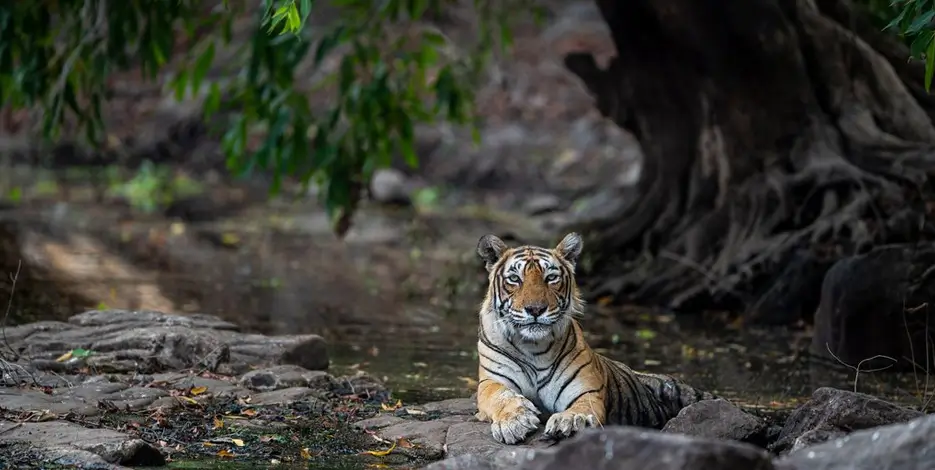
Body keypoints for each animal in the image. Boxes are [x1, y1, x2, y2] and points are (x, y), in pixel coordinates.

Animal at [473, 232, 717, 444]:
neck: (533, 346)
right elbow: (501, 395)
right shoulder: (491, 381)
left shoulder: (585, 390)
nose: (535, 309)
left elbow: (582, 409)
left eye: (551, 278)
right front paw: (515, 421)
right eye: (515, 279)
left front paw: (570, 421)